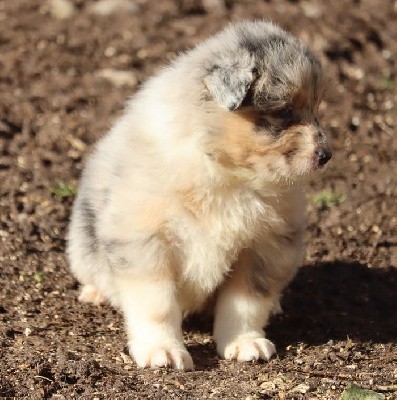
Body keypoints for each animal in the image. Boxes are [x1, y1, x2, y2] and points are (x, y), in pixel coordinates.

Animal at [67, 21, 332, 372]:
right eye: (285, 111)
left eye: (315, 109)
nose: (326, 155)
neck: (227, 174)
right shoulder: (143, 241)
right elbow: (158, 304)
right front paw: (163, 352)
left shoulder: (264, 245)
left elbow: (245, 302)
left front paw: (244, 343)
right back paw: (95, 293)